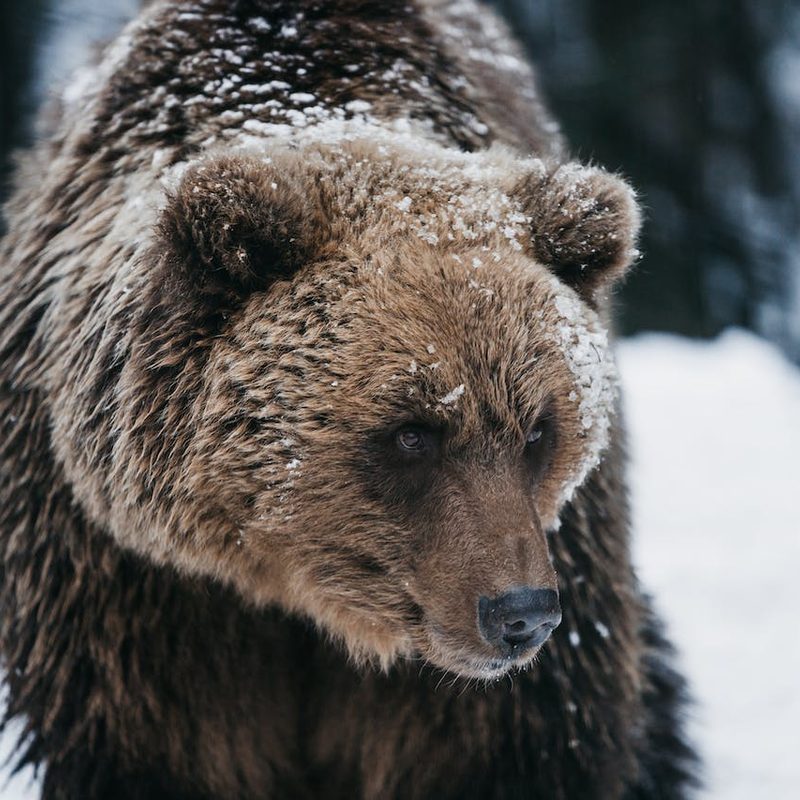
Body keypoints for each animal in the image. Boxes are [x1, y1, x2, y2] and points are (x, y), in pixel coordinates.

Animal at [0, 0, 698, 798]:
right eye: (412, 432)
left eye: (537, 431)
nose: (521, 615)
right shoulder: (129, 580)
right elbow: (153, 744)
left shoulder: (536, 593)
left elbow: (514, 744)